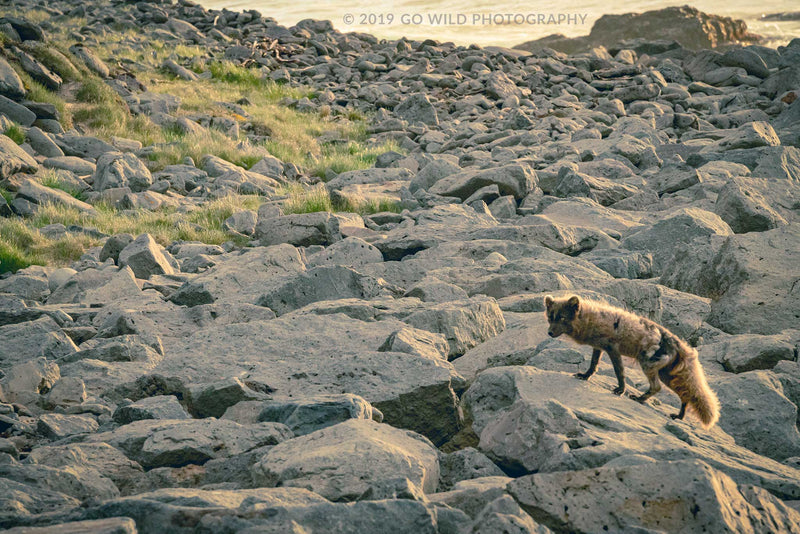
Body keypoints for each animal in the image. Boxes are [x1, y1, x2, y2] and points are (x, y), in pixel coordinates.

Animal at [543, 294, 720, 428]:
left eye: (562, 317)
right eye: (551, 317)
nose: (549, 333)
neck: (590, 318)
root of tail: (680, 344)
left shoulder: (613, 349)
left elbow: (619, 372)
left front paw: (620, 390)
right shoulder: (598, 347)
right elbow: (593, 365)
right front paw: (585, 376)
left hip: (648, 364)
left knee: (657, 387)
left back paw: (639, 398)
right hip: (667, 375)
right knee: (686, 395)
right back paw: (678, 417)